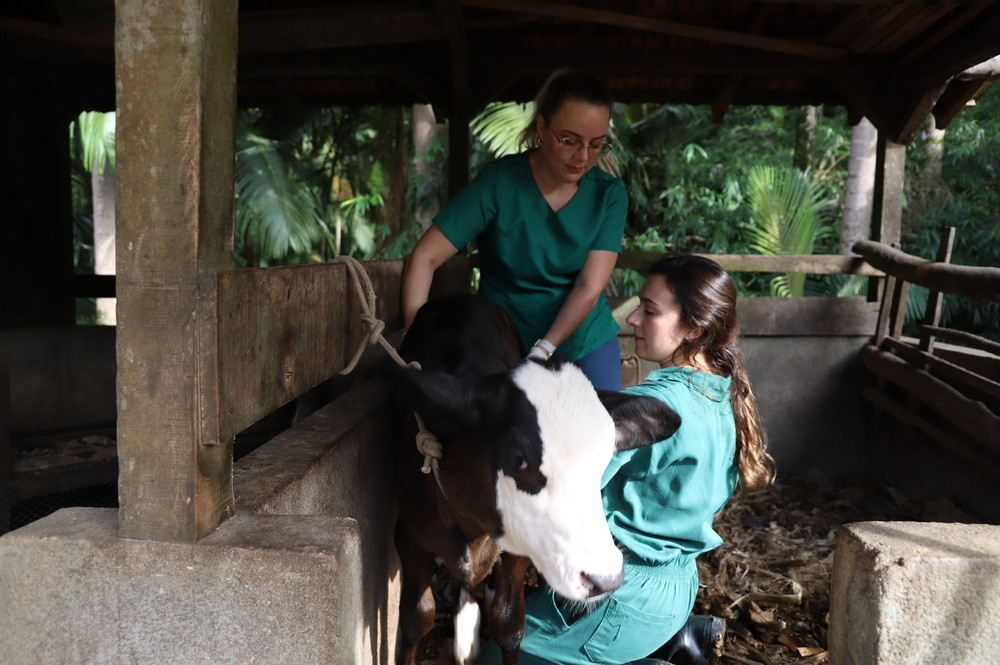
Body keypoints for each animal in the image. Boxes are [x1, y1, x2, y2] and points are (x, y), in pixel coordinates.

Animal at [382, 296, 680, 664]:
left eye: (604, 458)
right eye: (518, 459)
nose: (604, 578)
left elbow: (509, 623)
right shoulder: (408, 533)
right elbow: (415, 619)